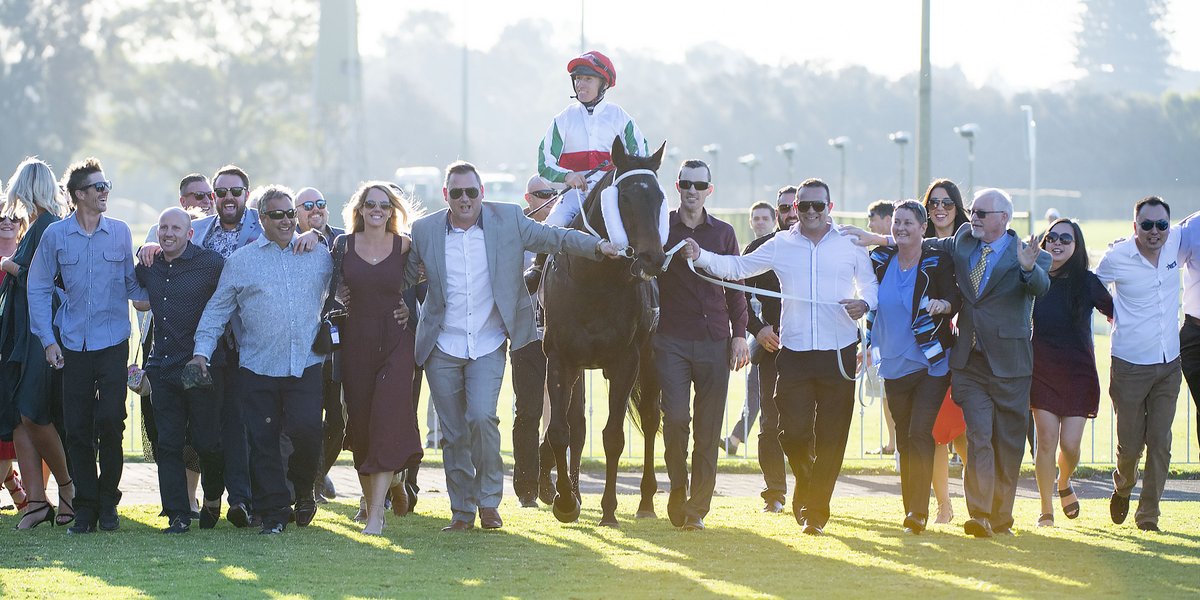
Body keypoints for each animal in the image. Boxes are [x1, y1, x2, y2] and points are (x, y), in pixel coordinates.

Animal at [542, 136, 672, 525]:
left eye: (659, 197)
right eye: (625, 197)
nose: (652, 259)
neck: (593, 283)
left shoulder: (625, 361)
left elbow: (614, 436)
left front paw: (609, 509)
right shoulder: (560, 358)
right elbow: (560, 431)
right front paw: (565, 502)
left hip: (650, 358)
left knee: (649, 420)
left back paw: (646, 502)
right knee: (575, 425)